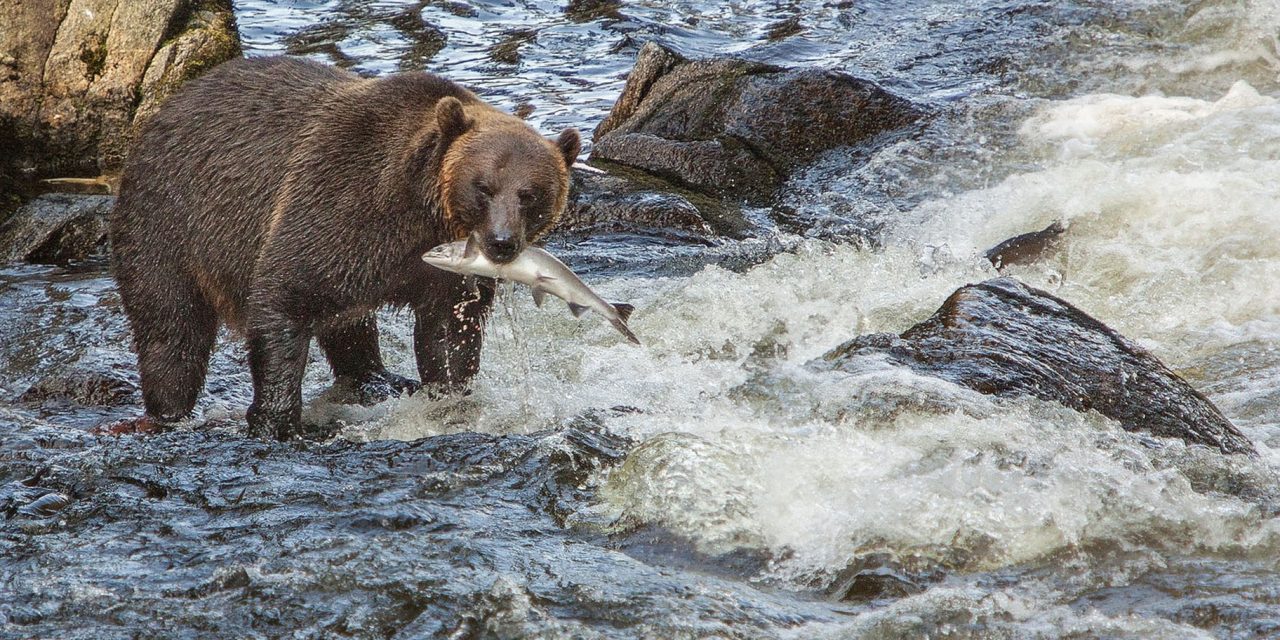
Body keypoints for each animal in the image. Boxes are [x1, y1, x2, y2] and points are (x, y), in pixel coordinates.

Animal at [108, 56, 580, 440]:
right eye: (484, 187)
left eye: (530, 194)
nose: (501, 243)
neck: (420, 213)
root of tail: (164, 109)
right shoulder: (340, 200)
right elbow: (284, 297)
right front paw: (277, 422)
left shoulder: (440, 272)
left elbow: (449, 333)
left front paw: (449, 395)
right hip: (168, 220)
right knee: (170, 325)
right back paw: (169, 410)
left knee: (349, 323)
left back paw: (378, 379)